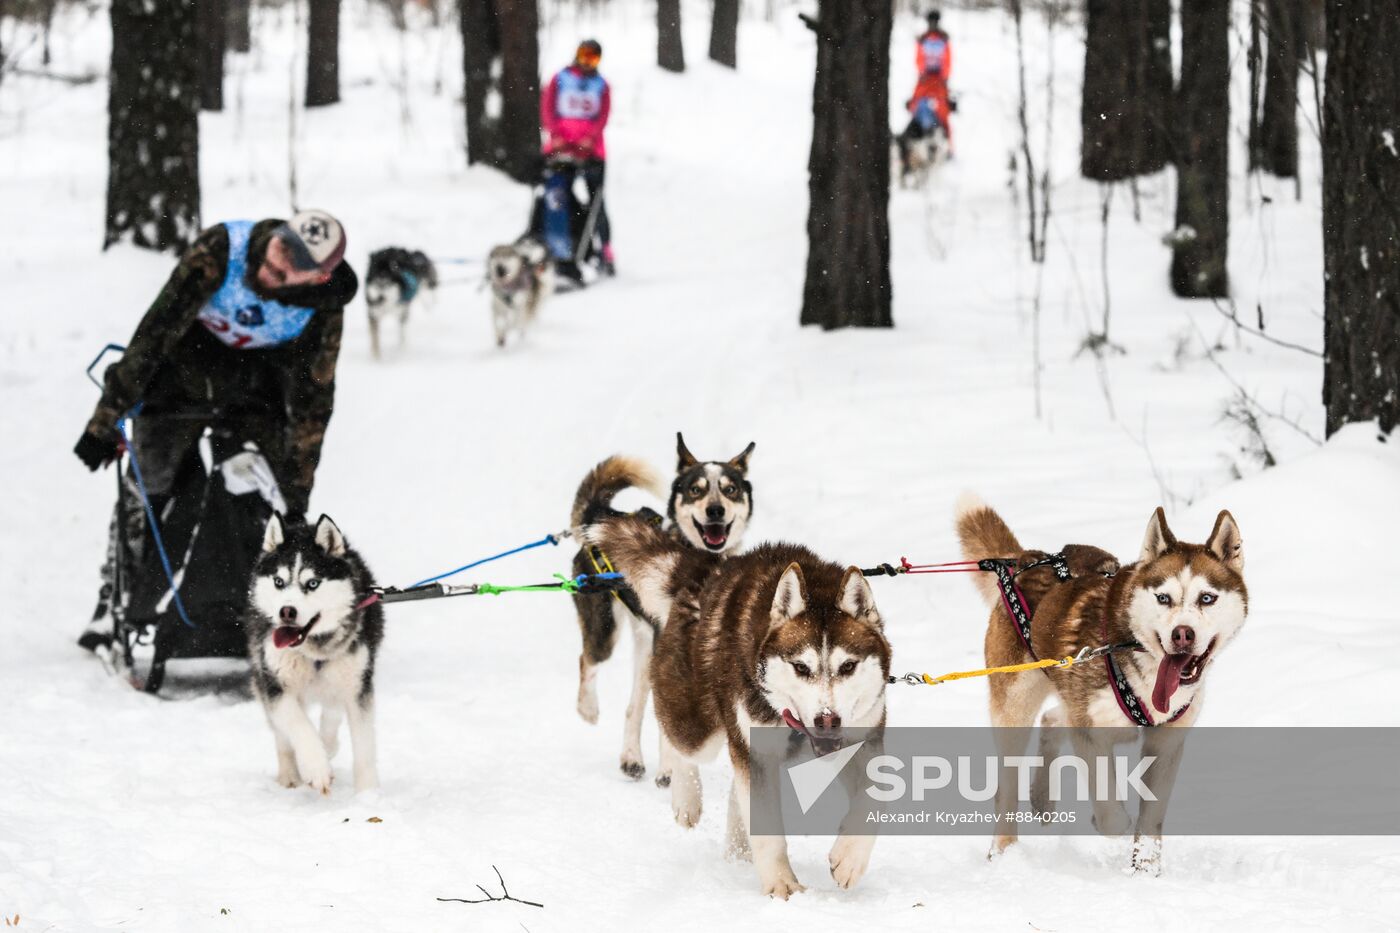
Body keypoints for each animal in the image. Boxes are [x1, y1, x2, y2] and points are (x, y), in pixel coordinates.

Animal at [246, 515, 386, 790]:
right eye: (279, 582)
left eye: (312, 583)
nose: (286, 611)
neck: (313, 650)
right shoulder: (275, 684)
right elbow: (297, 725)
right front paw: (316, 767)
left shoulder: (357, 687)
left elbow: (364, 746)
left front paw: (368, 793)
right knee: (282, 734)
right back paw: (290, 774)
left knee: (331, 708)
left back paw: (328, 745)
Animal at [568, 431, 756, 778]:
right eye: (695, 489)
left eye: (730, 489)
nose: (715, 510)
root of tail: (602, 515)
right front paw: (670, 770)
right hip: (606, 630)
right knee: (588, 660)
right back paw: (589, 709)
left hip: (646, 646)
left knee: (633, 707)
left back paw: (631, 757)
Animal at [585, 512, 890, 896]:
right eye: (801, 667)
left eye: (848, 666)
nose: (827, 720)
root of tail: (706, 575)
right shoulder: (756, 749)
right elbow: (769, 830)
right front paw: (782, 885)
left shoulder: (862, 736)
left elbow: (874, 796)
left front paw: (849, 859)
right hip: (698, 724)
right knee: (678, 737)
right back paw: (685, 796)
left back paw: (738, 846)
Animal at [963, 493, 1248, 874]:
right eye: (1163, 598)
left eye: (1207, 598)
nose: (1182, 634)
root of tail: (1025, 560)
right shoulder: (1090, 732)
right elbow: (1112, 813)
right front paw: (1107, 824)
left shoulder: (1167, 742)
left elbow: (1152, 819)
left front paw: (1146, 870)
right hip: (1014, 708)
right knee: (1006, 787)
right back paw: (1003, 853)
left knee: (1052, 718)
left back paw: (1042, 798)